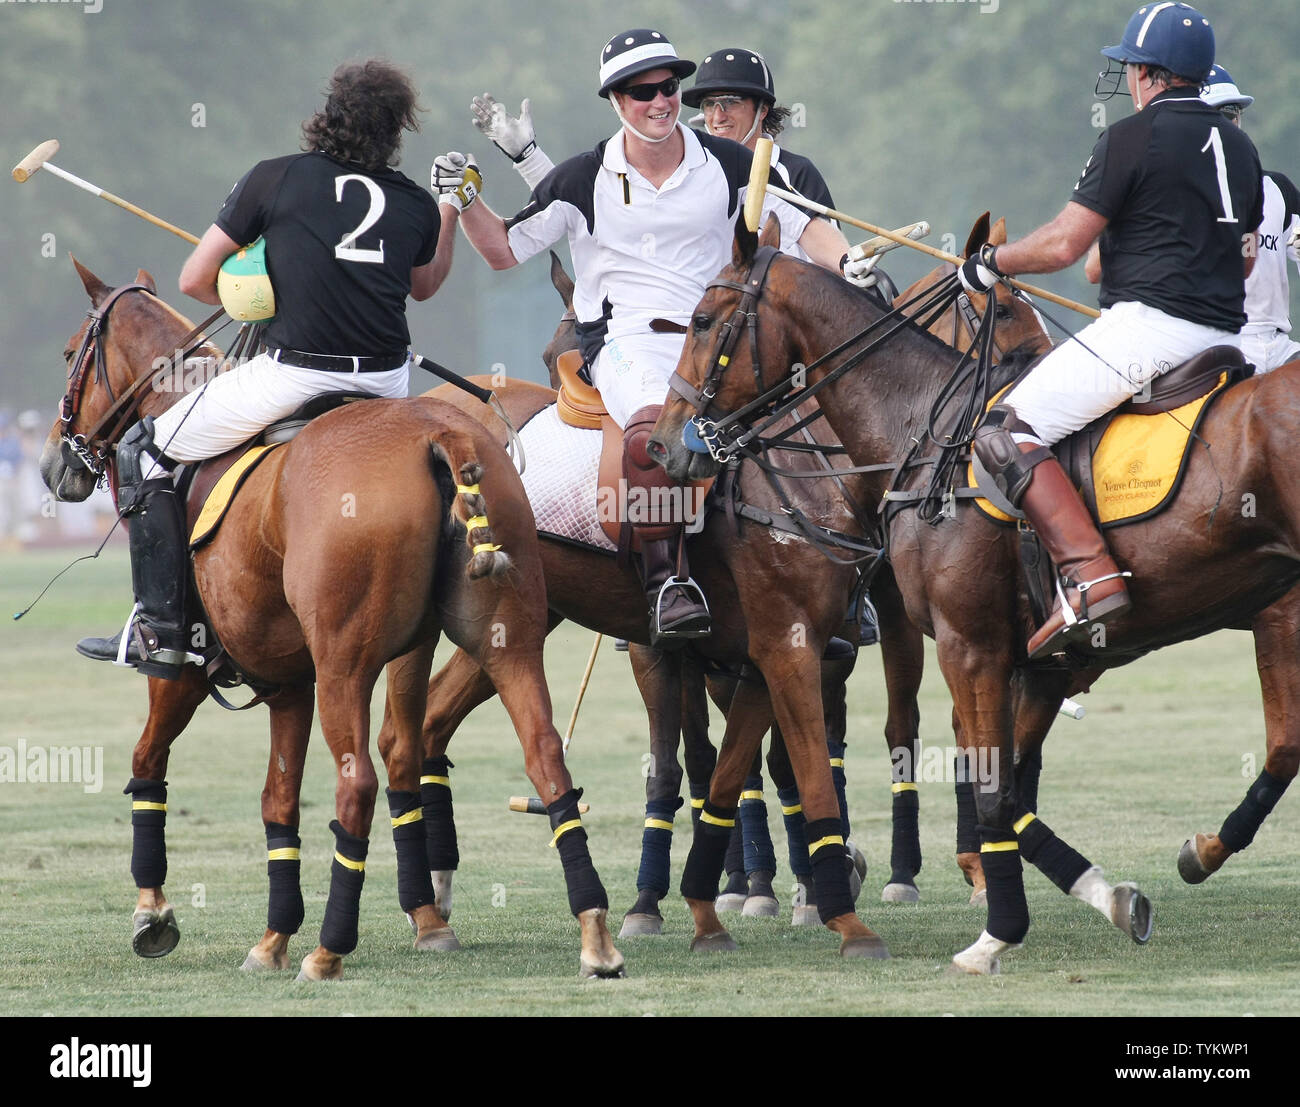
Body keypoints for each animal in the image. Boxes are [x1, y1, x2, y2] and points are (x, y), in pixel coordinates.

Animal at [39, 263, 624, 982]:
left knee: (359, 782)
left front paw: (154, 913)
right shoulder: (287, 681)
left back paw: (328, 949)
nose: (54, 464)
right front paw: (271, 937)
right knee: (537, 754)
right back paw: (587, 935)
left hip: (346, 665)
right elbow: (278, 800)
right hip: (501, 639)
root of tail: (445, 435)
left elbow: (149, 760)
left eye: (72, 352)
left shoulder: (187, 666)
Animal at [660, 220, 1300, 971]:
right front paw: (1090, 895)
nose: (669, 444)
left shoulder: (976, 644)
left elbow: (996, 784)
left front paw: (1003, 927)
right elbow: (1005, 780)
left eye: (703, 321)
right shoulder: (1029, 656)